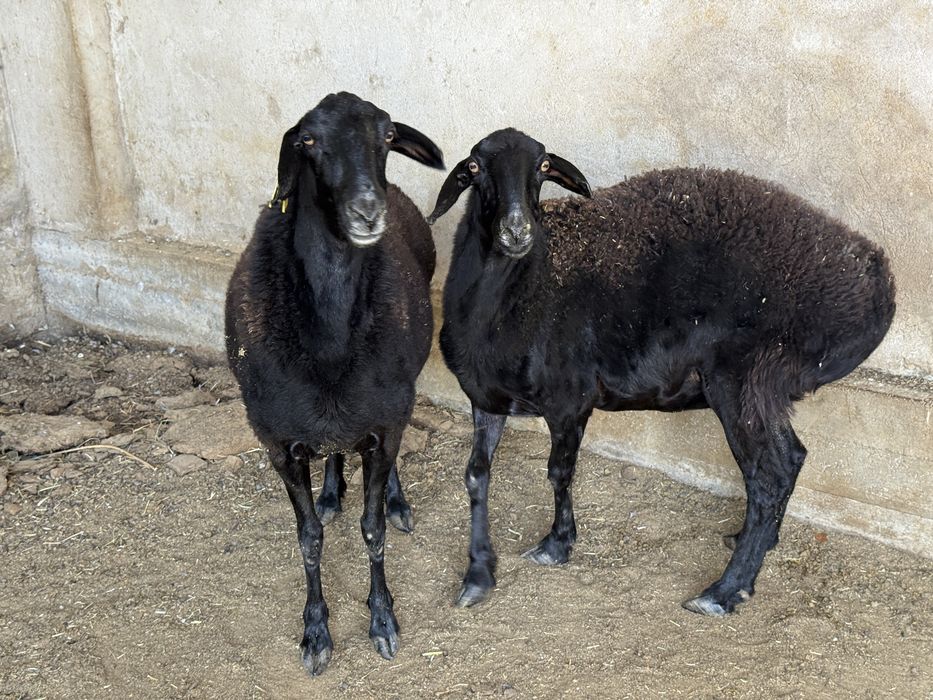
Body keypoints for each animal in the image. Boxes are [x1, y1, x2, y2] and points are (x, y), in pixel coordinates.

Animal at [224, 92, 443, 675]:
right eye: (308, 140)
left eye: (388, 135)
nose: (368, 210)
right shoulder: (278, 443)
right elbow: (309, 538)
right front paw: (316, 631)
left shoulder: (383, 422)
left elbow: (373, 528)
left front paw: (383, 619)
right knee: (333, 454)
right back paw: (329, 490)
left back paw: (394, 498)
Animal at [427, 128, 896, 616]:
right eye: (475, 167)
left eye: (543, 167)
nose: (517, 231)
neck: (518, 293)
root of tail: (878, 279)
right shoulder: (486, 399)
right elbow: (476, 475)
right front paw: (477, 575)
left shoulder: (569, 397)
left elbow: (559, 471)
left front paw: (557, 545)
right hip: (763, 389)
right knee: (792, 459)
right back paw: (752, 543)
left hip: (748, 377)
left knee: (772, 473)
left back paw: (725, 590)